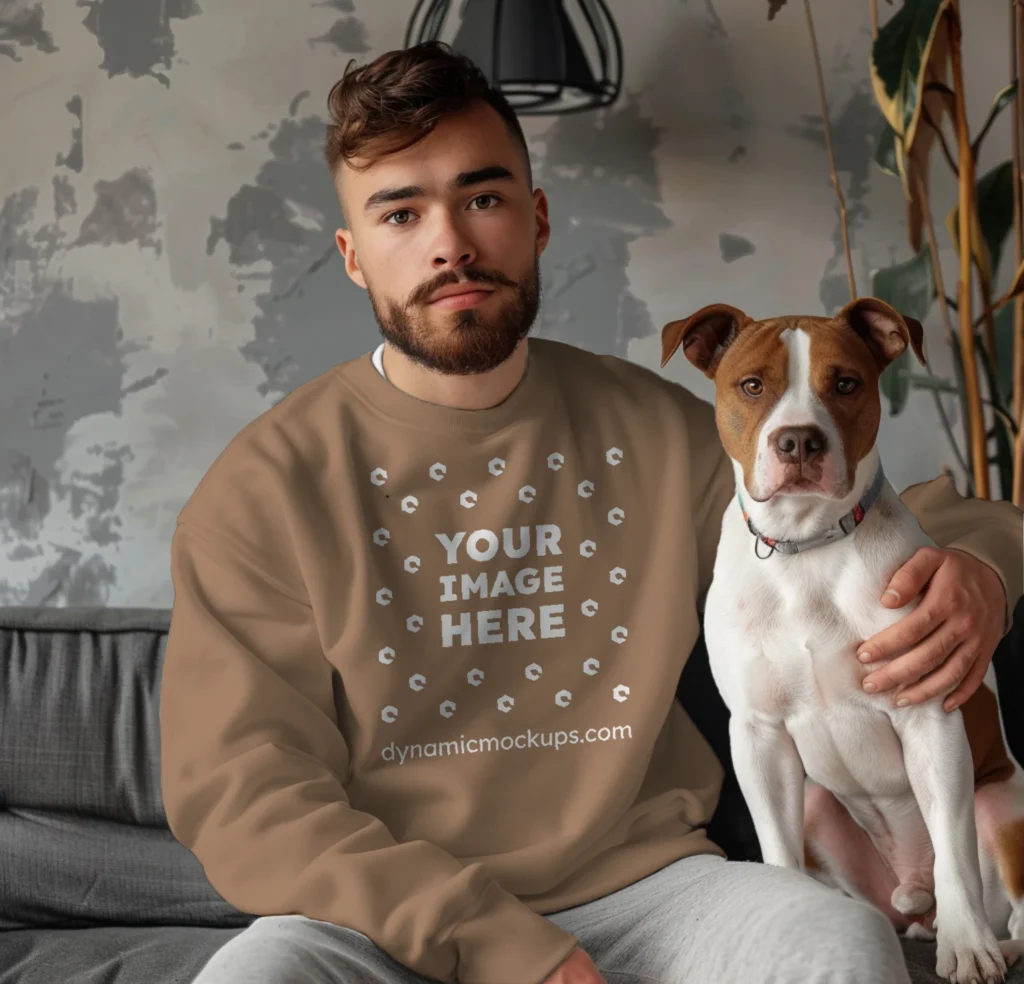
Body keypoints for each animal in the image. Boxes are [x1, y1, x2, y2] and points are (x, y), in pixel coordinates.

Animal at [663, 296, 1024, 982]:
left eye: (846, 384)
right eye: (752, 385)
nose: (799, 439)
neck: (806, 546)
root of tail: (913, 900)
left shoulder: (929, 716)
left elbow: (953, 850)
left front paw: (967, 948)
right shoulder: (758, 735)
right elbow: (777, 852)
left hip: (1002, 806)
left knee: (1004, 901)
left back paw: (989, 939)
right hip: (816, 806)